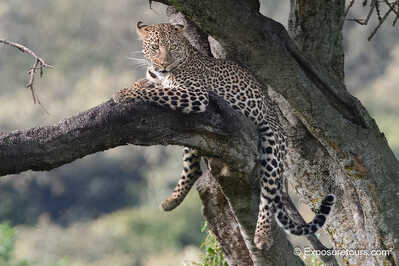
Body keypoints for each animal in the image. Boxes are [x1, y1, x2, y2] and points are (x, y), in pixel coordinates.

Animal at [113, 22, 338, 249]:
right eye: (155, 47)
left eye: (173, 47)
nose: (164, 65)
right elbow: (154, 85)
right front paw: (139, 83)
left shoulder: (195, 95)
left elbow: (159, 93)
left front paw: (124, 93)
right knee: (192, 167)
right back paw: (172, 201)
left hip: (273, 144)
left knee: (267, 194)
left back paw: (263, 236)